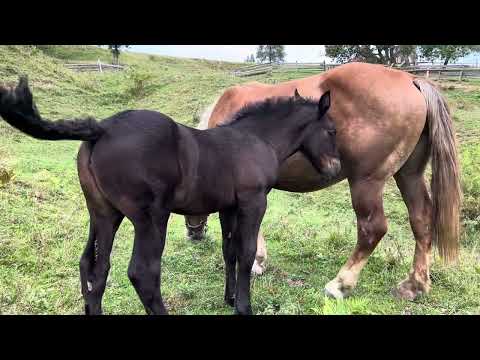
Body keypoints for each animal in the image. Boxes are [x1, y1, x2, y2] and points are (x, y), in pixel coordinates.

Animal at [185, 62, 462, 300]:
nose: (193, 233)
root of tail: (411, 80)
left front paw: (254, 262)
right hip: (408, 175)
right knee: (421, 220)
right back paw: (414, 285)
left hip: (366, 182)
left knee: (373, 229)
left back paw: (340, 284)